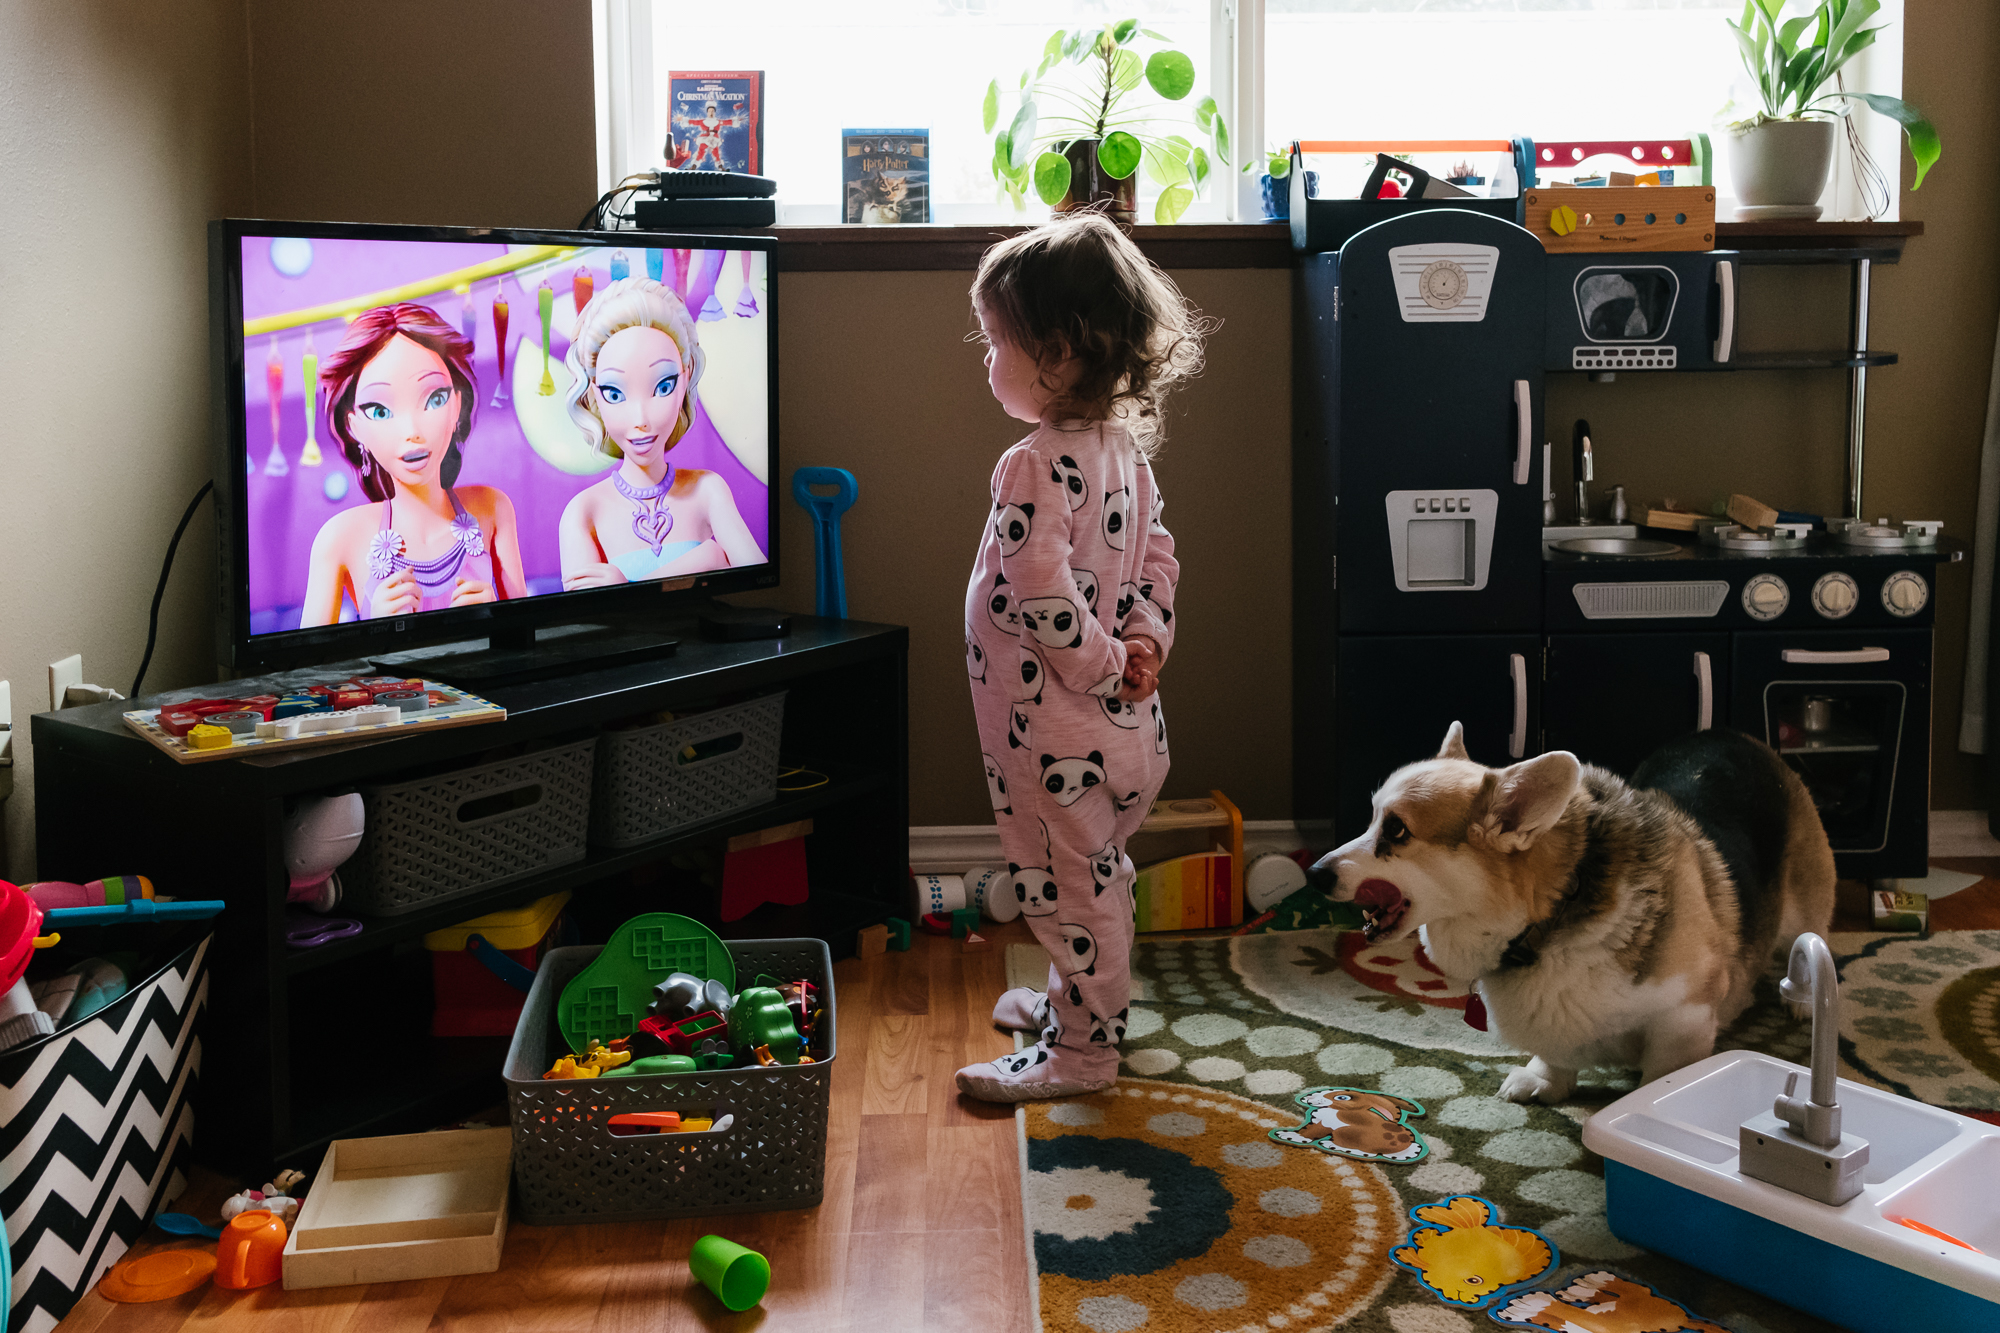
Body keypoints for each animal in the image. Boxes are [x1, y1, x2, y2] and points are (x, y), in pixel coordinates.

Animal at [1304, 720, 1832, 1096]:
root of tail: (1732, 734)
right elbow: (1555, 1058)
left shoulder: (1683, 1022)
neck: (1548, 919)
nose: (1314, 874)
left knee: (1808, 944)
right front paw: (1544, 1082)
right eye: (1372, 818)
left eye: (1396, 831)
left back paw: (1802, 1001)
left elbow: (1656, 1081)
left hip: (1805, 909)